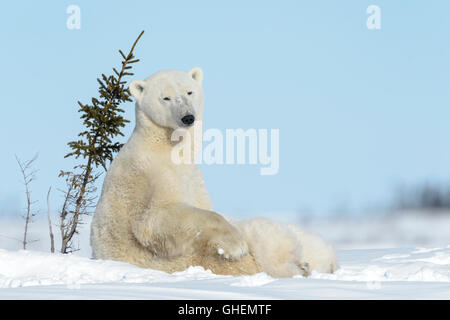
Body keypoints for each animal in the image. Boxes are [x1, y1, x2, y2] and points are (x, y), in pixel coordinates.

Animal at [90, 66, 338, 276]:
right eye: (165, 97)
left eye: (189, 91)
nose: (187, 117)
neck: (164, 146)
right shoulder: (152, 179)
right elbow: (157, 220)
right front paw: (236, 246)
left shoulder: (193, 178)